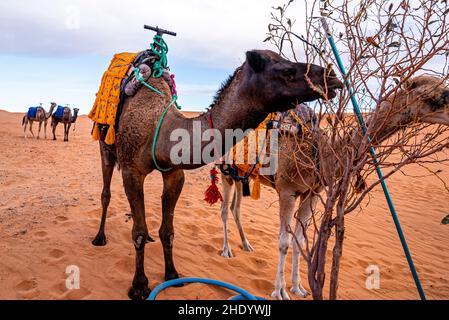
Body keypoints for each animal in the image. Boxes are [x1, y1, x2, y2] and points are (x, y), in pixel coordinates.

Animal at [219, 75, 448, 300]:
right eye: (435, 97)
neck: (321, 151)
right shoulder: (287, 191)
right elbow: (284, 242)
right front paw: (280, 291)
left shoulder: (311, 193)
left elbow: (299, 241)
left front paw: (299, 288)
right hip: (225, 172)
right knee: (224, 211)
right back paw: (227, 251)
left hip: (241, 175)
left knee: (235, 208)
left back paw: (247, 245)